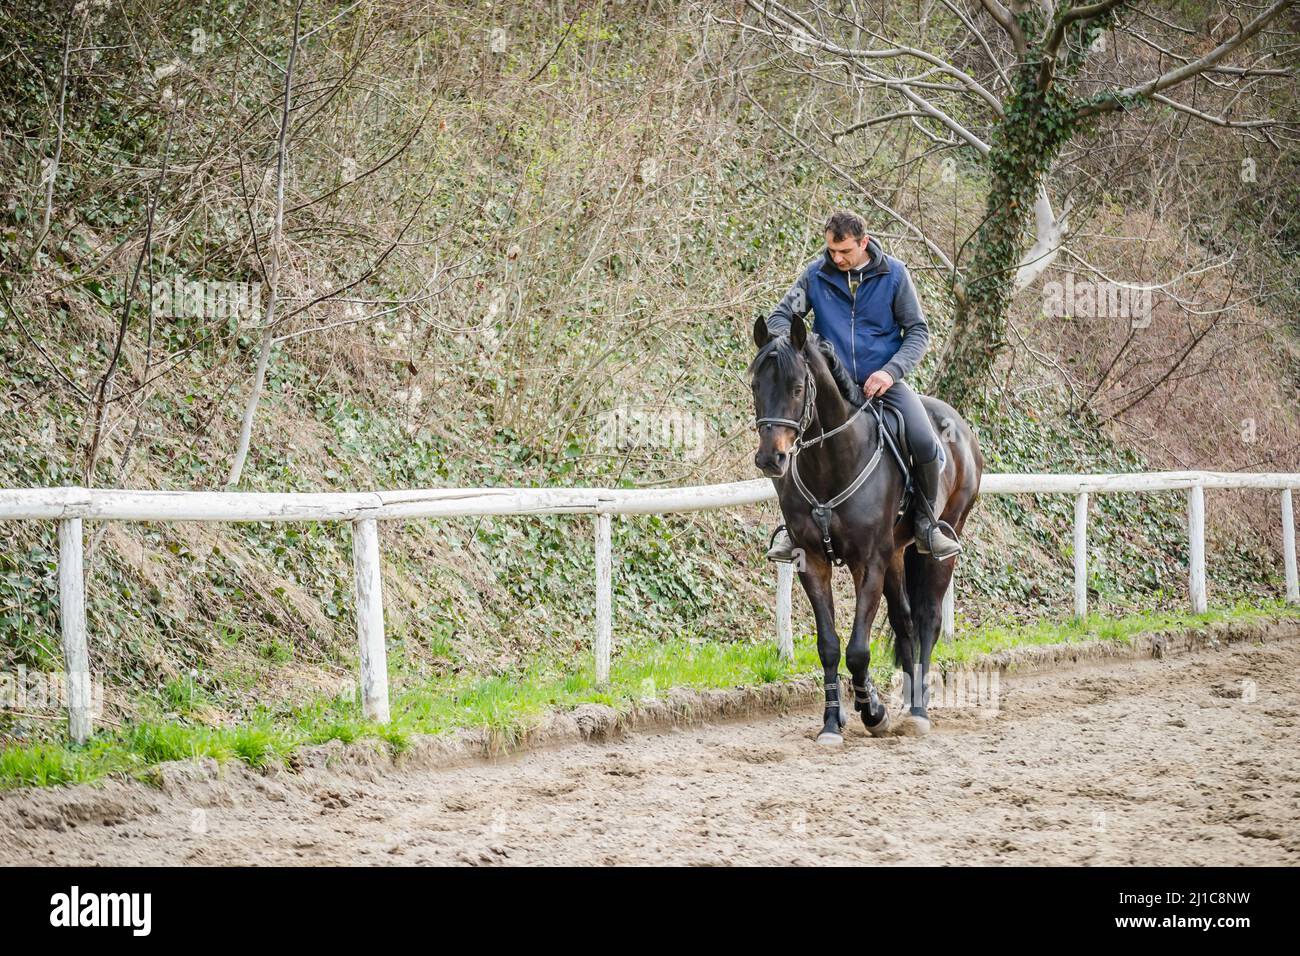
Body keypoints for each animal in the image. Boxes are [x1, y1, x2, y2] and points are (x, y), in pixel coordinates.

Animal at [748, 314, 977, 749]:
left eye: (798, 387)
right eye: (755, 386)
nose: (772, 458)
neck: (832, 462)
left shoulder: (868, 562)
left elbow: (857, 649)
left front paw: (873, 712)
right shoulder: (813, 561)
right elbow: (830, 645)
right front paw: (832, 722)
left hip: (943, 541)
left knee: (927, 619)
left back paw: (918, 711)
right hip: (897, 554)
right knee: (904, 622)